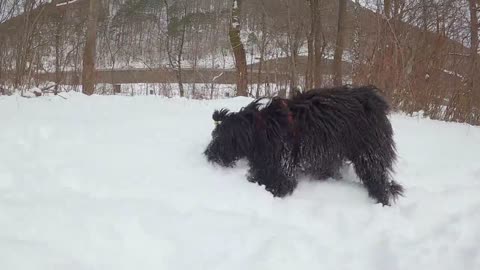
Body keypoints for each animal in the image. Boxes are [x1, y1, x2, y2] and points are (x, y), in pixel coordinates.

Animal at [204, 85, 404, 206]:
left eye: (220, 138)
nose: (208, 154)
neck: (261, 128)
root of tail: (373, 100)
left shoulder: (282, 164)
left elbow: (278, 184)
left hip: (368, 152)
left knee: (378, 178)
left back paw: (381, 200)